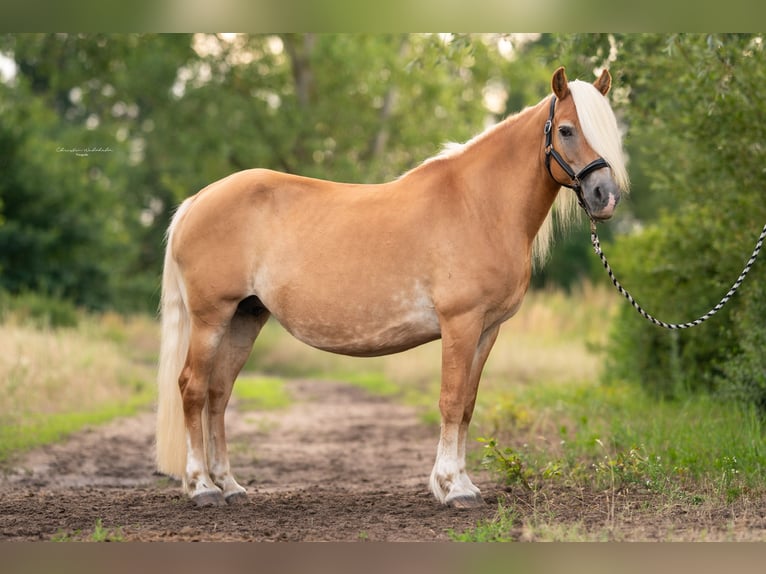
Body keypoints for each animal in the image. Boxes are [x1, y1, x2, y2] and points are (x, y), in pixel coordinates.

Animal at [154, 66, 632, 508]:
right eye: (566, 129)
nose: (604, 196)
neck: (478, 205)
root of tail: (198, 200)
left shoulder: (487, 329)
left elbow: (468, 404)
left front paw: (463, 482)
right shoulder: (460, 324)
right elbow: (450, 400)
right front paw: (452, 488)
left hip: (244, 317)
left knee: (218, 394)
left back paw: (229, 485)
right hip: (211, 317)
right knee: (193, 389)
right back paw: (202, 488)